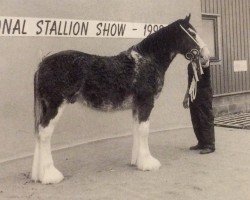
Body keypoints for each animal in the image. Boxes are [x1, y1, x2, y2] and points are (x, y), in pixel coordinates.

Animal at [32, 15, 210, 184]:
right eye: (192, 33)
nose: (206, 56)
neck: (148, 60)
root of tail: (42, 64)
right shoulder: (146, 103)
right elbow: (144, 130)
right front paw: (148, 163)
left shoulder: (136, 106)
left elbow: (137, 129)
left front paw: (137, 161)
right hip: (55, 105)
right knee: (45, 133)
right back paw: (50, 175)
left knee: (39, 133)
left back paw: (39, 175)